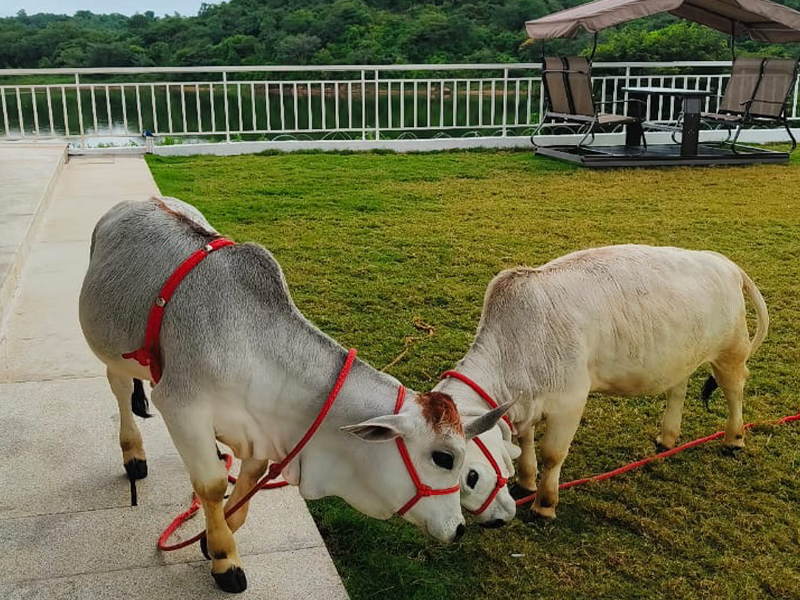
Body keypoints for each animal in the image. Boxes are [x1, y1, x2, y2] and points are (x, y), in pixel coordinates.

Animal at [79, 197, 511, 593]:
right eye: (444, 458)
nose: (458, 529)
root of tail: (134, 202)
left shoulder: (256, 429)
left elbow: (248, 478)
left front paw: (214, 534)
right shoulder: (181, 405)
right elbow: (213, 485)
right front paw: (223, 557)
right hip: (112, 354)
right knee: (121, 391)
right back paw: (133, 454)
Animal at [435, 245, 768, 522]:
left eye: (469, 474)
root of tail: (723, 262)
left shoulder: (570, 400)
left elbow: (552, 454)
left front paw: (544, 505)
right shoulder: (525, 403)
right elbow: (525, 443)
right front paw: (526, 482)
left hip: (730, 351)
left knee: (735, 390)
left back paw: (734, 438)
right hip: (682, 354)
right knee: (678, 388)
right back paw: (667, 437)